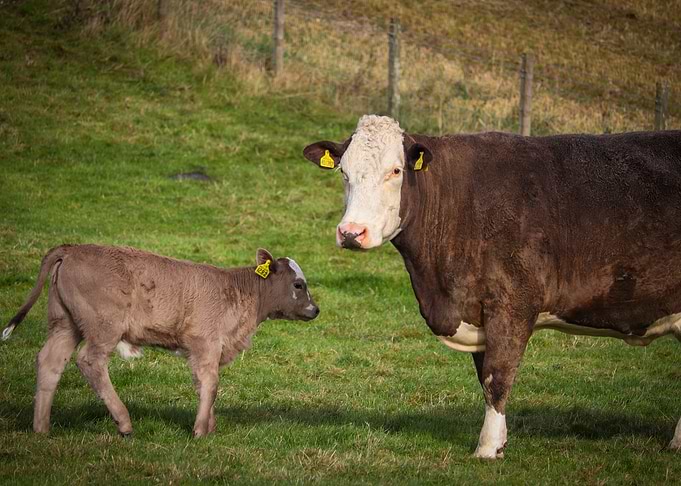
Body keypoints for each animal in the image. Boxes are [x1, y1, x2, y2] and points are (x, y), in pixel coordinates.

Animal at [1, 244, 319, 437]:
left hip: (65, 324)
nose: (315, 309)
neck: (238, 291)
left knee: (50, 362)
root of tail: (72, 248)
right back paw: (124, 422)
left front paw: (210, 426)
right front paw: (200, 431)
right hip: (104, 327)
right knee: (90, 362)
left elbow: (203, 384)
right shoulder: (205, 342)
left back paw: (41, 428)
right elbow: (211, 383)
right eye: (298, 284)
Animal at [303, 114, 681, 459]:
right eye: (344, 172)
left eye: (395, 171)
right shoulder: (478, 311)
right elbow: (483, 377)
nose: (352, 232)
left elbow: (496, 377)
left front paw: (487, 448)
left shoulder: (512, 304)